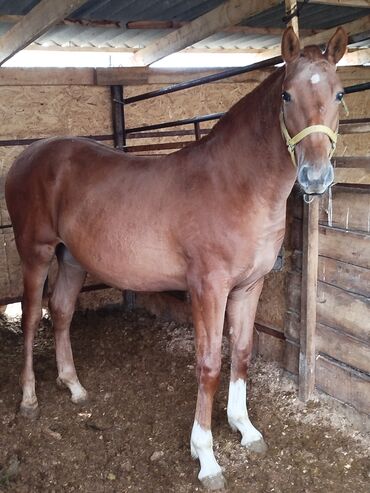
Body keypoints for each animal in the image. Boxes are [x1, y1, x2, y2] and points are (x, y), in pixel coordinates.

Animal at [5, 28, 346, 486]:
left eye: (340, 93)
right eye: (286, 95)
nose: (315, 176)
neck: (236, 184)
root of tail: (26, 156)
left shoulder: (249, 287)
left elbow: (242, 354)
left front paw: (245, 429)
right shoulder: (208, 289)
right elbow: (209, 365)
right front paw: (206, 457)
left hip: (72, 259)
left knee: (60, 313)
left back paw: (73, 386)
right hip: (37, 253)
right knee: (30, 318)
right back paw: (28, 399)